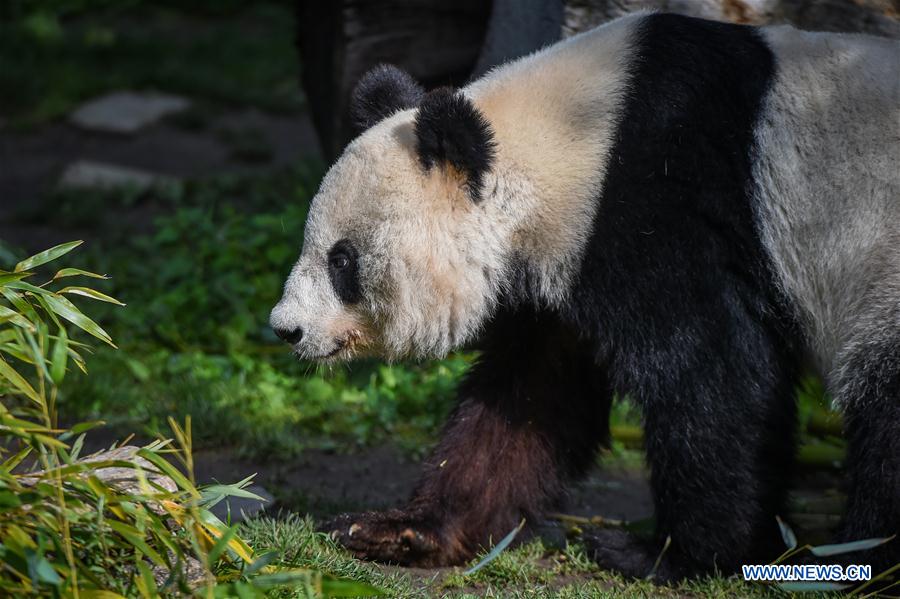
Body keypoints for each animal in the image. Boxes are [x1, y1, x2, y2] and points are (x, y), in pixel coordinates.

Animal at [268, 10, 900, 580]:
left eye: (342, 260)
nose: (285, 328)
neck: (573, 136)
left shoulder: (655, 207)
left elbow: (715, 373)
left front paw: (675, 555)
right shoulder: (565, 264)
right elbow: (531, 398)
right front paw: (403, 530)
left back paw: (860, 552)